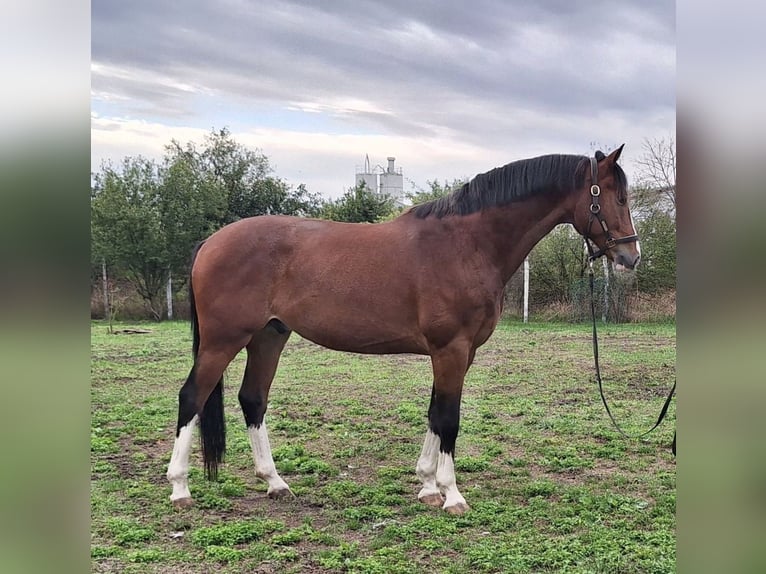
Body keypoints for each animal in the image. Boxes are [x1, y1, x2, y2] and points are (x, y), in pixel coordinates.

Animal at [166, 145, 640, 516]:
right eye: (615, 197)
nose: (631, 256)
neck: (467, 244)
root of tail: (210, 243)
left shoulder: (457, 353)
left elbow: (434, 413)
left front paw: (428, 486)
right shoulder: (451, 349)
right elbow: (449, 418)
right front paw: (452, 494)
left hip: (269, 336)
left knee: (253, 400)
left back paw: (275, 482)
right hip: (224, 340)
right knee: (192, 396)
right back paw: (180, 488)